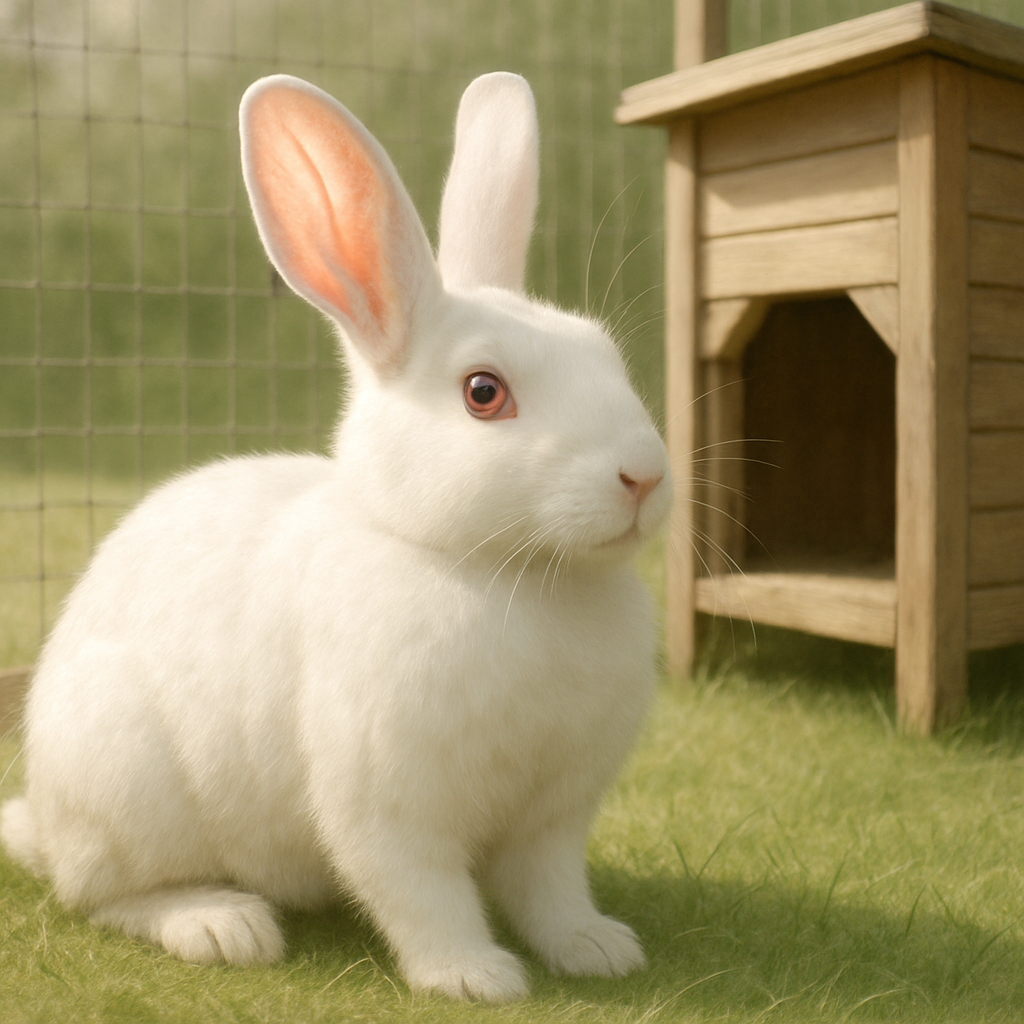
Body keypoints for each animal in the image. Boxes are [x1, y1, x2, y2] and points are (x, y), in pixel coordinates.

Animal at [0, 71, 671, 1002]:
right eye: (484, 392)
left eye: (607, 356)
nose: (643, 475)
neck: (509, 572)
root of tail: (44, 817)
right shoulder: (385, 800)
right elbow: (420, 891)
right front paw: (473, 978)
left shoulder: (553, 814)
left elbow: (551, 890)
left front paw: (599, 950)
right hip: (129, 787)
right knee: (103, 894)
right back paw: (221, 924)